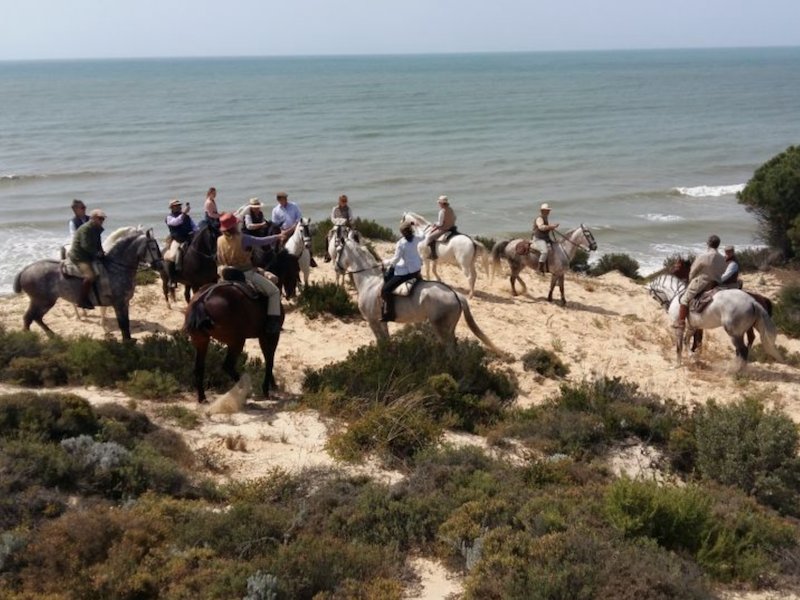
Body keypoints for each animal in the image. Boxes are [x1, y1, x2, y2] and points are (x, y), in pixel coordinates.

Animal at [14, 227, 163, 340]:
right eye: (153, 248)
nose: (160, 266)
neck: (115, 267)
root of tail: (25, 270)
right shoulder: (119, 303)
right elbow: (123, 324)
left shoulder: (124, 303)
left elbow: (124, 324)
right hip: (42, 301)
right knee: (29, 318)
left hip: (44, 302)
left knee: (36, 318)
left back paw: (52, 335)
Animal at [332, 231, 496, 352]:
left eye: (339, 250)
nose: (336, 268)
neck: (369, 281)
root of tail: (455, 294)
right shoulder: (381, 321)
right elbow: (387, 341)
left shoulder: (372, 321)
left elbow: (381, 343)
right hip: (450, 328)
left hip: (441, 327)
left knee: (450, 349)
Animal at [648, 274, 784, 368]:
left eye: (654, 296)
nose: (666, 307)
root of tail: (752, 301)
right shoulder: (693, 327)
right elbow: (688, 342)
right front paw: (693, 357)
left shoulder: (680, 327)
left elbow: (679, 346)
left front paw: (677, 364)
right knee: (746, 345)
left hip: (734, 333)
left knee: (743, 350)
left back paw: (736, 371)